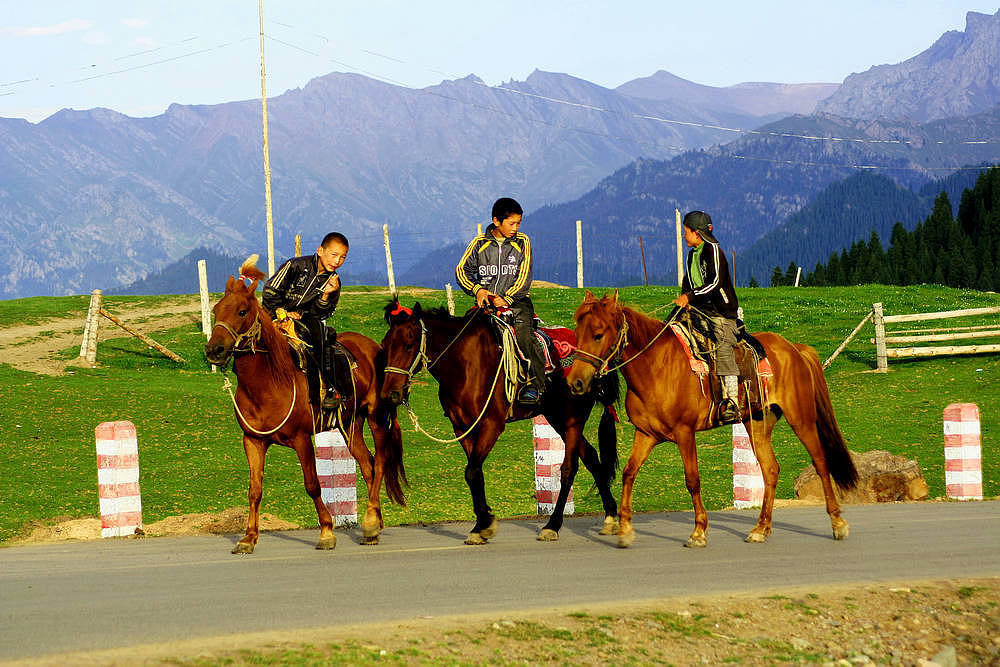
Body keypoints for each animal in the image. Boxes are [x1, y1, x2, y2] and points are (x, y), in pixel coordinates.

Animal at [203, 264, 406, 556]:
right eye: (216, 310)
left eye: (242, 311)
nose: (214, 350)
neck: (270, 381)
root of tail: (375, 347)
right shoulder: (252, 441)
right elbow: (255, 489)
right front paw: (248, 538)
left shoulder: (301, 440)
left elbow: (312, 485)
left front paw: (326, 532)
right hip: (350, 425)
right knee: (367, 465)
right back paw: (374, 523)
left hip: (377, 418)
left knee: (379, 464)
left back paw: (370, 523)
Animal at [380, 306, 620, 544]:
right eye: (384, 345)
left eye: (409, 344)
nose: (391, 393)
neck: (464, 365)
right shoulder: (463, 428)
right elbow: (475, 473)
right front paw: (483, 522)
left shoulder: (491, 424)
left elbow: (472, 472)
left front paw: (483, 525)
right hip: (556, 418)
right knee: (591, 457)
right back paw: (610, 516)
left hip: (572, 419)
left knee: (569, 468)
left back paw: (552, 525)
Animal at [568, 294, 856, 552]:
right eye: (577, 333)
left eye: (598, 334)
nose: (576, 383)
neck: (655, 366)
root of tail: (795, 348)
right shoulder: (645, 434)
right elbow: (629, 473)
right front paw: (625, 530)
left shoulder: (685, 433)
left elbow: (692, 480)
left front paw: (698, 532)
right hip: (757, 423)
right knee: (771, 469)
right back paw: (760, 529)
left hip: (801, 419)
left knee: (820, 461)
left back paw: (838, 523)